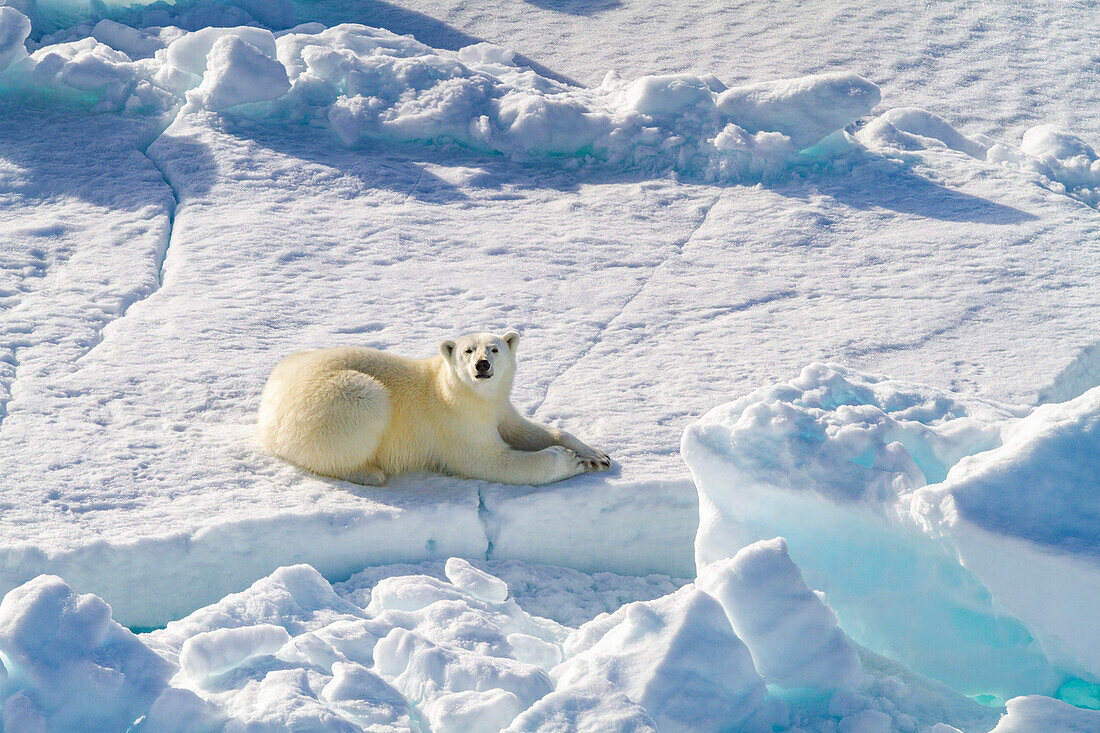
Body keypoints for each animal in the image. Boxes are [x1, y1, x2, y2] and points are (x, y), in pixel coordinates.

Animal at [256, 332, 611, 484]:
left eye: (494, 348)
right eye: (468, 350)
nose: (482, 365)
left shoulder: (499, 408)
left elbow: (523, 429)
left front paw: (595, 454)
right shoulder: (454, 423)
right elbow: (490, 461)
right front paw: (570, 461)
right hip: (336, 400)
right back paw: (370, 472)